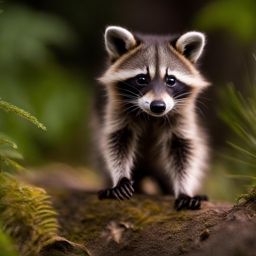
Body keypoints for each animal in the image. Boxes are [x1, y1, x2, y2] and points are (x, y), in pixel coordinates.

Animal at [96, 26, 210, 210]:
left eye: (171, 80)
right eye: (142, 79)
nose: (158, 106)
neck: (151, 116)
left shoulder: (182, 117)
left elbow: (184, 150)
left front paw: (184, 189)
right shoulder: (117, 111)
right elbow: (117, 142)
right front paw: (120, 177)